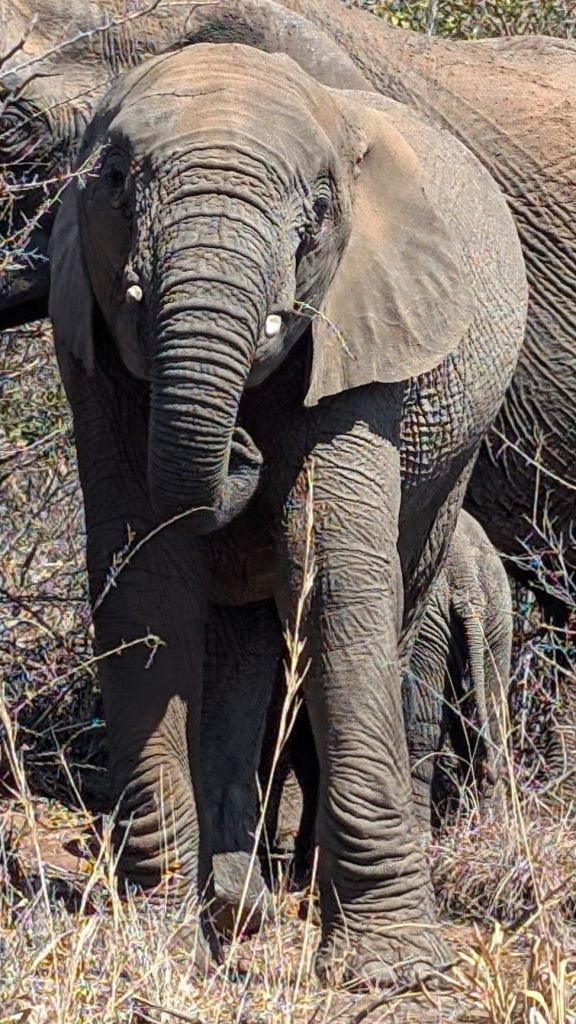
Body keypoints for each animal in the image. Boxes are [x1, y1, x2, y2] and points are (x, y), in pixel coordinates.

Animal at [47, 43, 526, 985]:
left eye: (321, 208)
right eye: (115, 181)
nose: (242, 447)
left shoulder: (364, 334)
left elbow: (330, 575)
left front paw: (393, 970)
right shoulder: (88, 342)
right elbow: (146, 586)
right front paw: (158, 942)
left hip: (452, 474)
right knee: (236, 638)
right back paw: (240, 901)